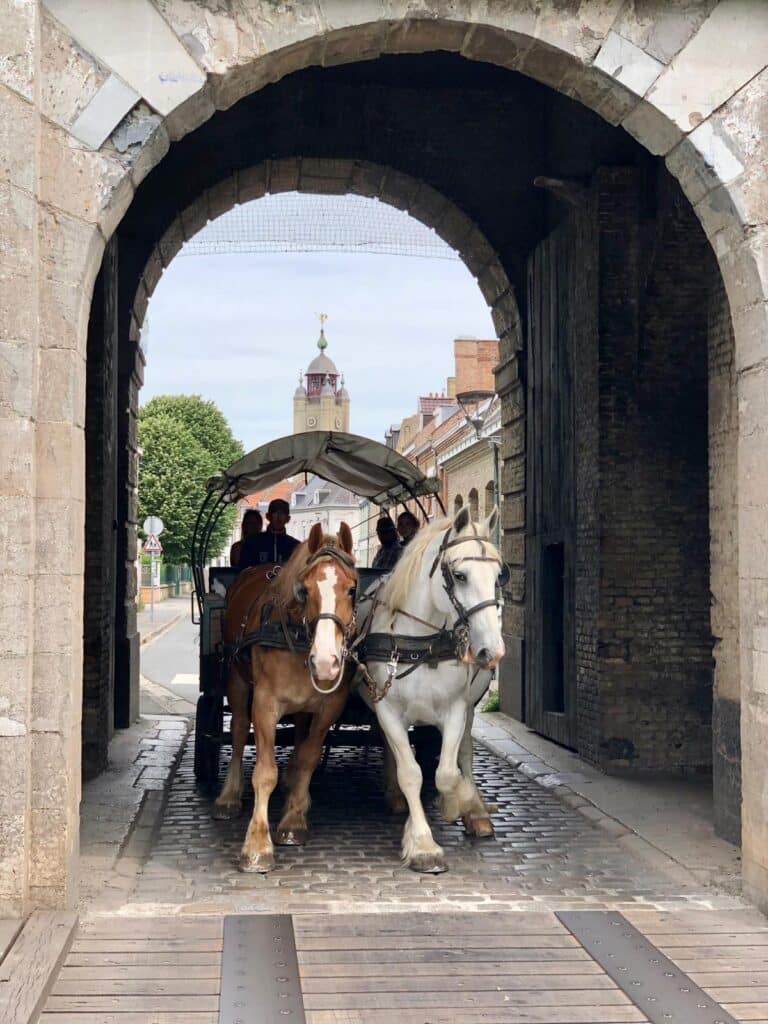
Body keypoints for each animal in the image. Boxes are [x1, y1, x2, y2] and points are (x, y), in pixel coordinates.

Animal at [213, 522, 358, 873]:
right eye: (303, 590)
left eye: (352, 589)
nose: (325, 662)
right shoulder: (265, 705)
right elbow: (265, 772)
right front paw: (257, 846)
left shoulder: (329, 707)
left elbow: (307, 758)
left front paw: (293, 820)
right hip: (237, 679)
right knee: (238, 730)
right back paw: (228, 796)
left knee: (300, 737)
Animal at [356, 506, 506, 873]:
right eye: (460, 575)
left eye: (499, 576)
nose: (491, 650)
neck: (419, 644)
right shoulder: (388, 711)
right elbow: (411, 772)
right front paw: (423, 843)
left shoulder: (454, 710)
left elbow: (447, 772)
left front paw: (457, 804)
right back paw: (396, 797)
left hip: (470, 707)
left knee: (465, 752)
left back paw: (477, 811)